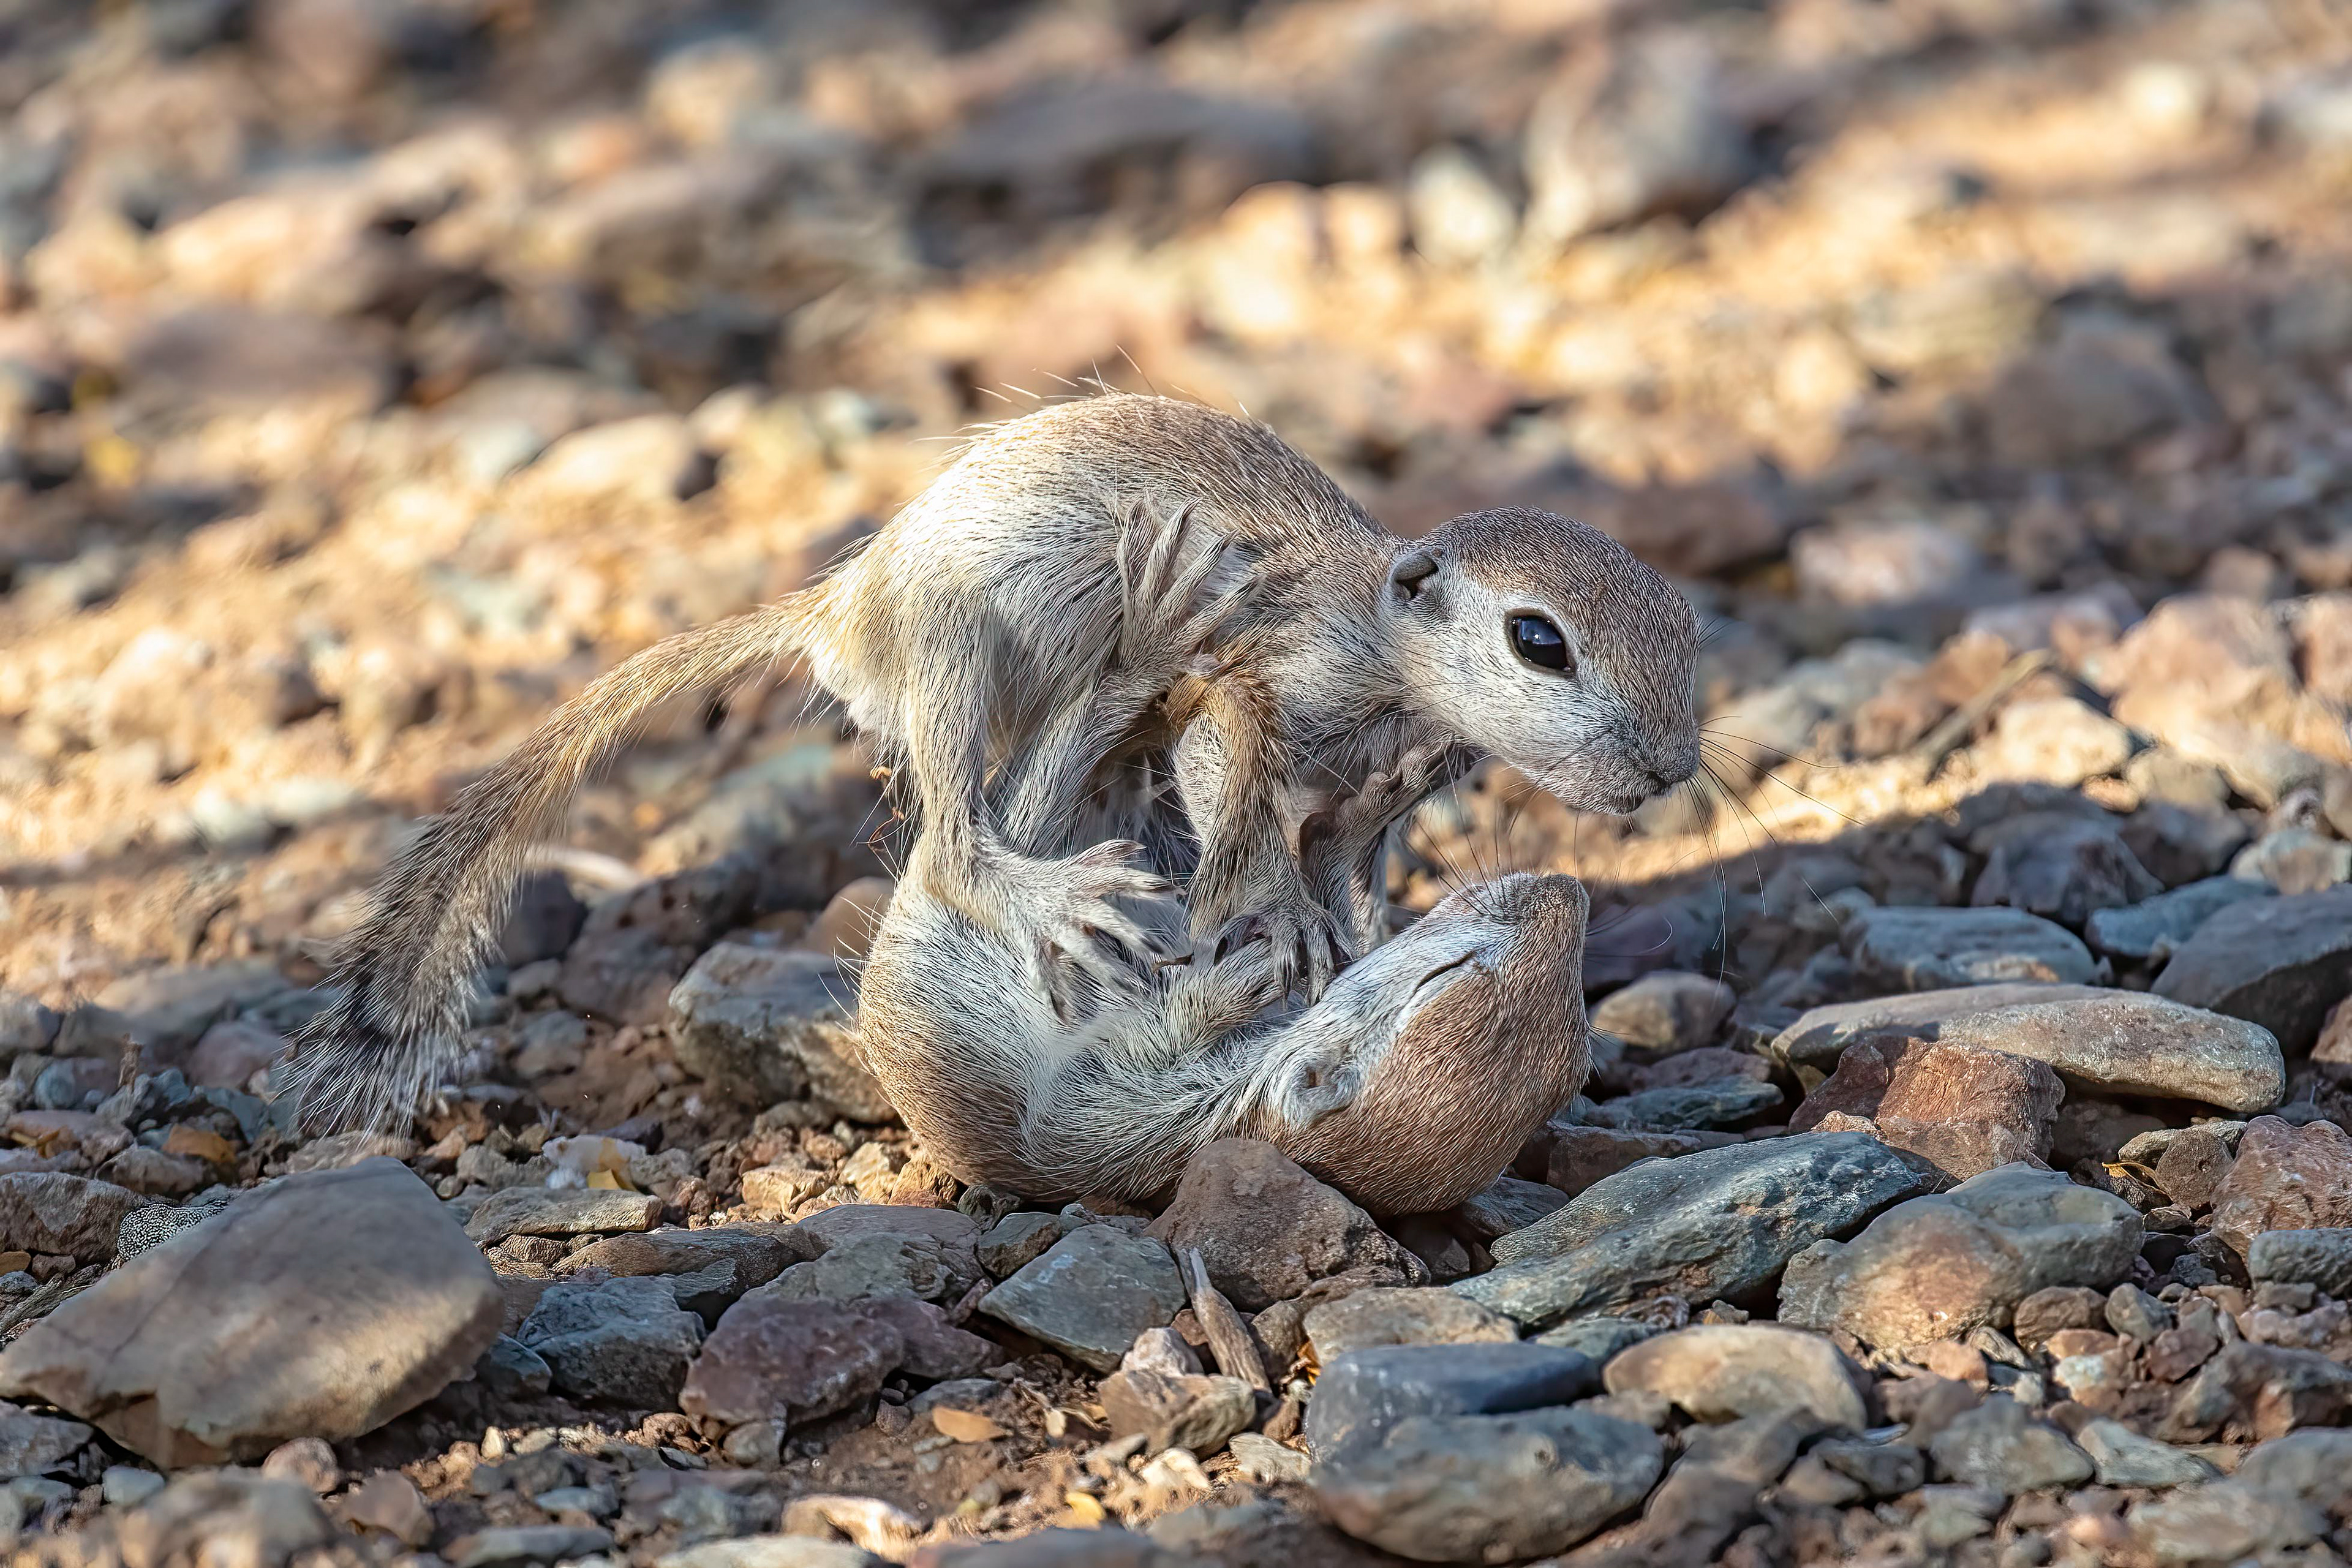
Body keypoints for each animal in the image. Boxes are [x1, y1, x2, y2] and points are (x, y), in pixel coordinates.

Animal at [286, 392, 1692, 1130]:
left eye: (1683, 616)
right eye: (1538, 640)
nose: (1674, 769)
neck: (1386, 642)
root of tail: (840, 609)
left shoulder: (1398, 772)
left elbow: (1353, 840)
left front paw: (1365, 913)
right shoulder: (1261, 680)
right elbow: (1237, 785)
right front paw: (1283, 915)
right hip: (961, 654)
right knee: (960, 842)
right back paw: (1053, 889)